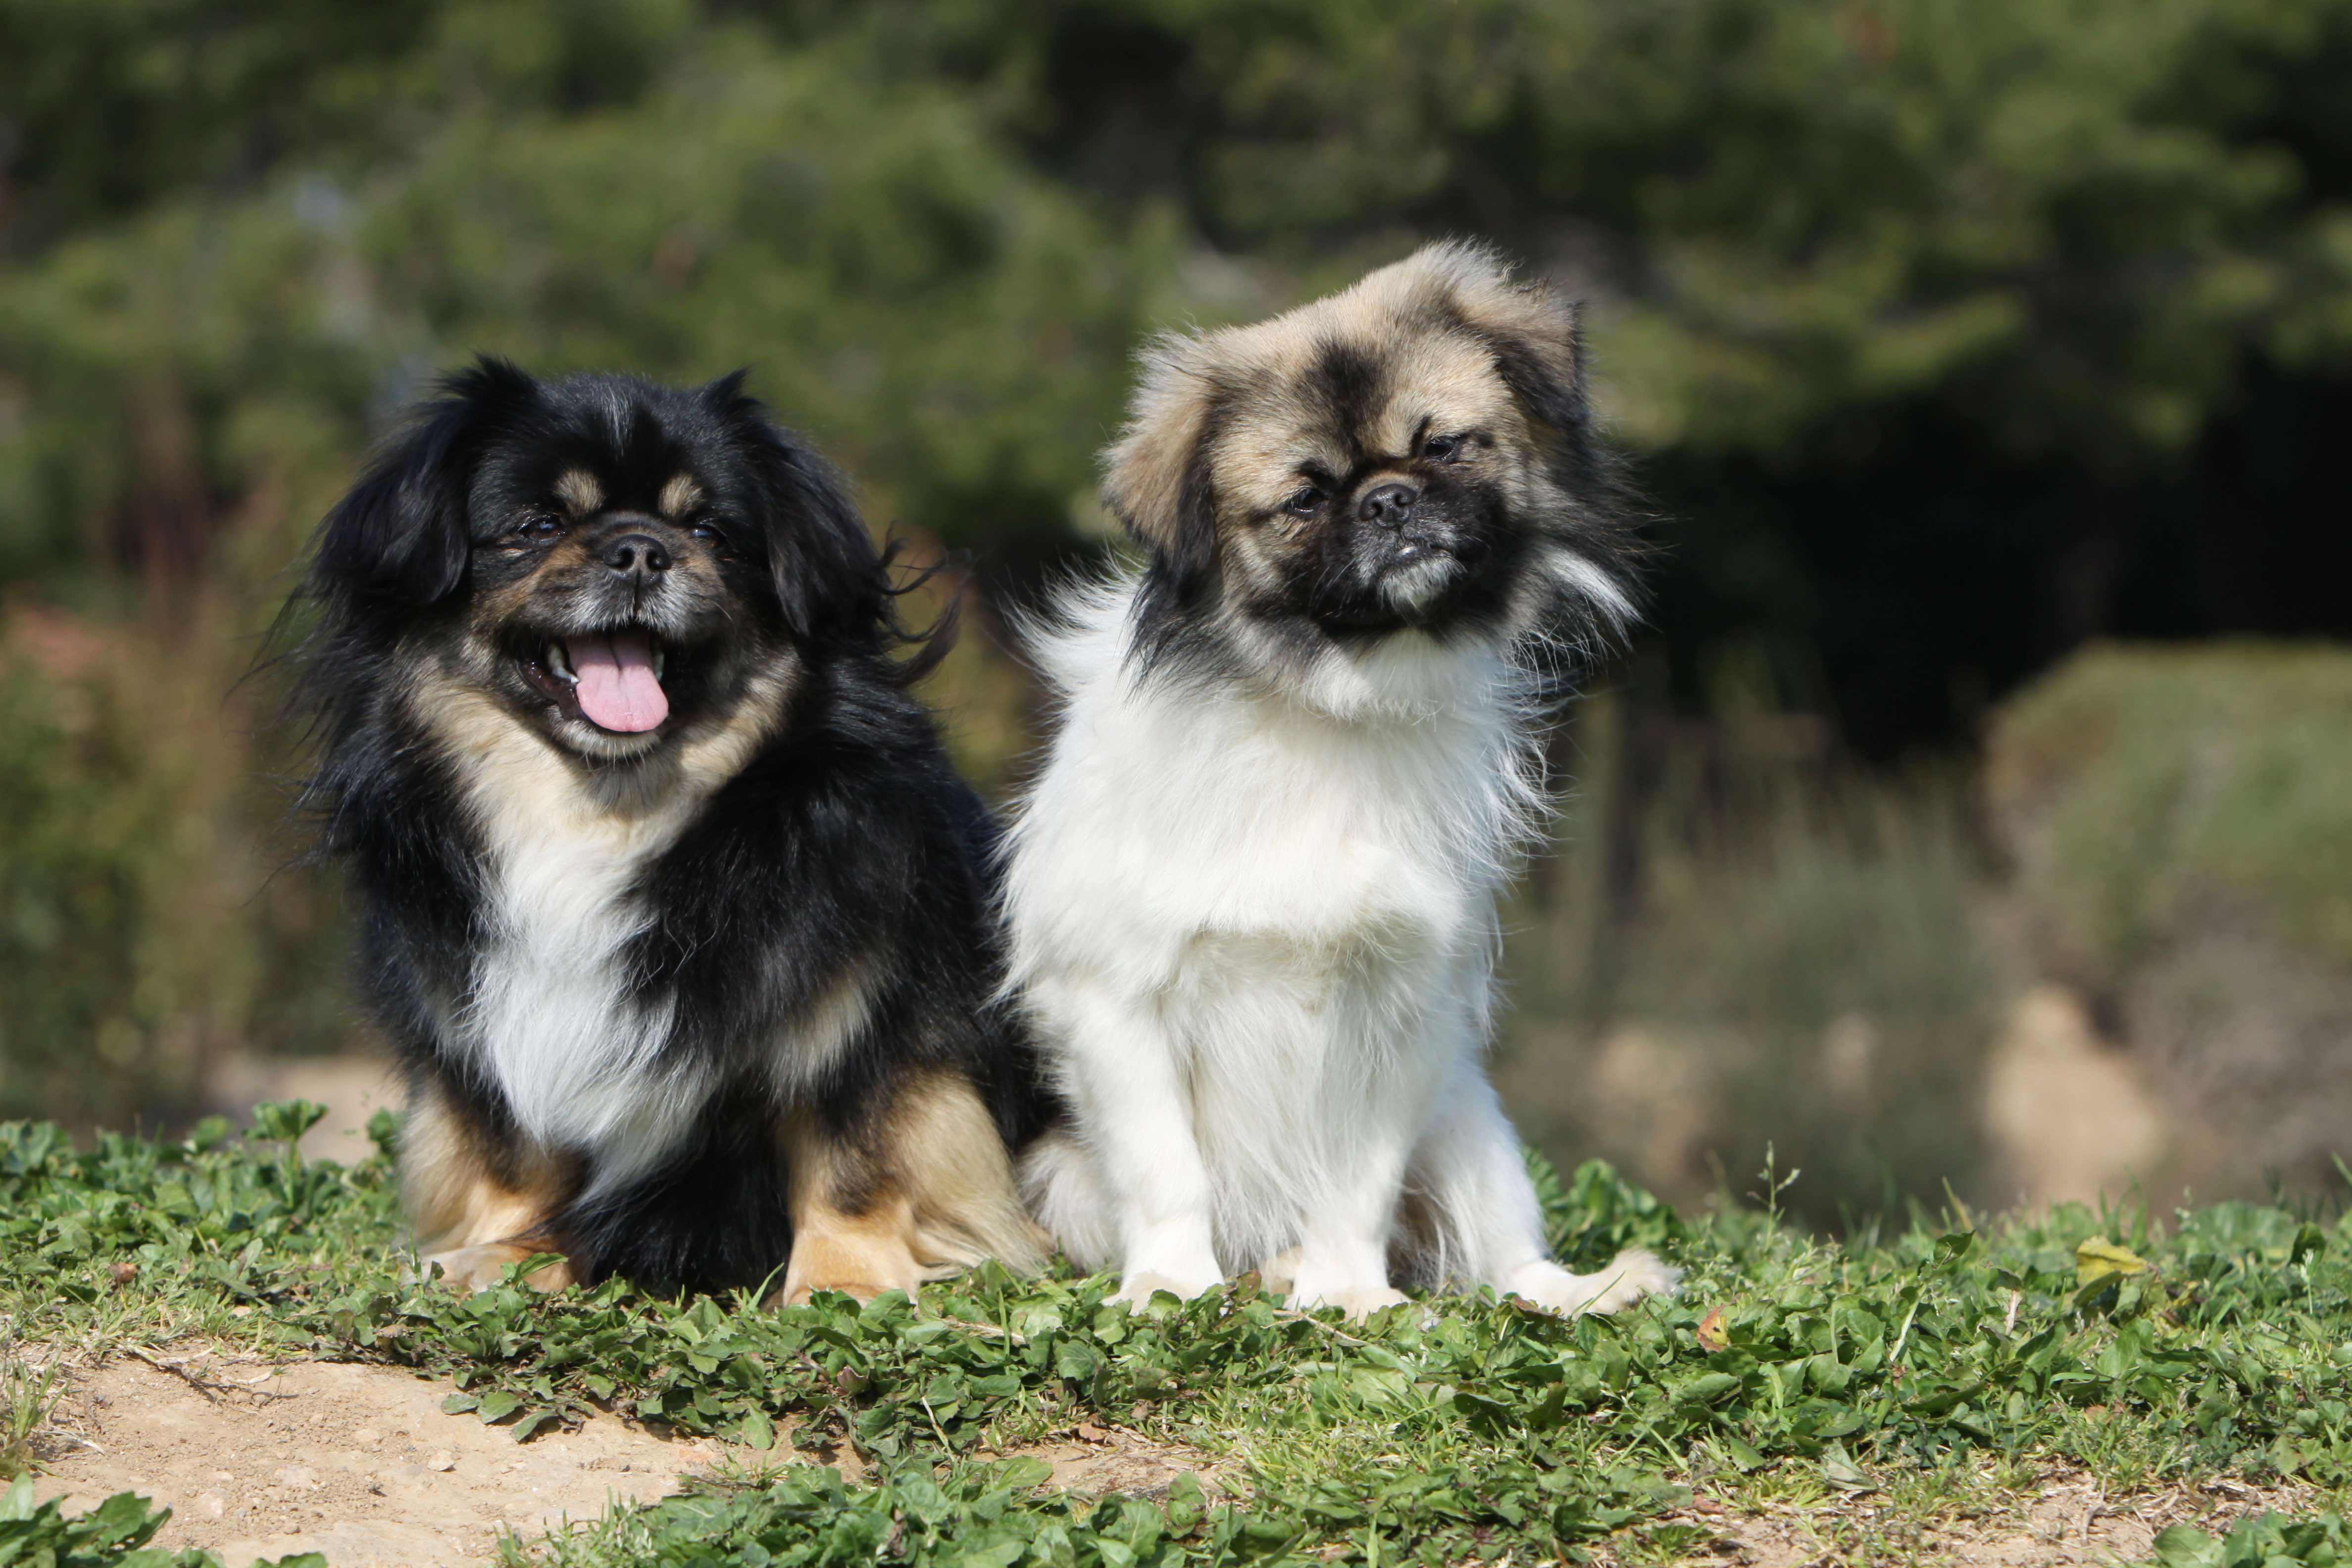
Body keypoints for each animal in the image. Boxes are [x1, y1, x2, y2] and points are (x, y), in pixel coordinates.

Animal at [280, 364, 1044, 1297]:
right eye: (540, 526)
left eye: (709, 531)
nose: (641, 550)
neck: (602, 809)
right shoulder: (482, 1025)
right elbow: (511, 1150)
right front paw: (506, 1249)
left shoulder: (869, 1015)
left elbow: (853, 1153)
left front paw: (844, 1285)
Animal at [1002, 242, 1684, 1325]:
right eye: (1306, 498)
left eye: (1445, 447)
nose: (1390, 499)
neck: (1331, 703)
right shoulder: (1114, 993)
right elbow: (1164, 1167)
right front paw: (1172, 1283)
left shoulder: (1402, 1006)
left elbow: (1356, 1175)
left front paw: (1348, 1292)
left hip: (1470, 1117)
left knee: (1507, 1261)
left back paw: (1579, 1288)